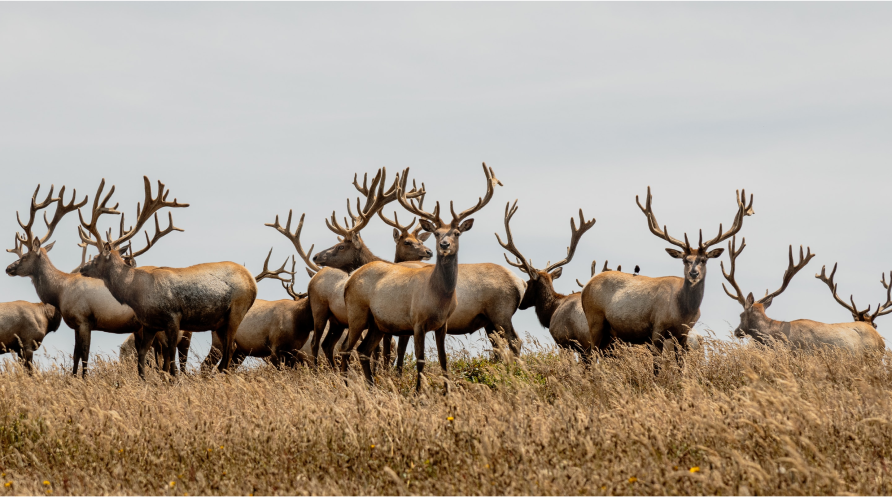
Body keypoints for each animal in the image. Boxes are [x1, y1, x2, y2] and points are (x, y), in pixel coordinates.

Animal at [3, 183, 162, 376]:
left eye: (25, 256)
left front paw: (84, 378)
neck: (60, 291)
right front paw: (73, 377)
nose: (8, 268)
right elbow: (76, 354)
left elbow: (85, 353)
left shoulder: (84, 319)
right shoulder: (76, 325)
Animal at [76, 176, 258, 374]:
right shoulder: (149, 324)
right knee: (228, 349)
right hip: (219, 322)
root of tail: (252, 281)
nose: (82, 269)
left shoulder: (173, 316)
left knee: (229, 348)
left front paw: (172, 378)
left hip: (237, 310)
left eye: (96, 257)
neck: (136, 293)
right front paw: (145, 378)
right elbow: (143, 355)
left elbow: (170, 356)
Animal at [342, 165, 502, 390]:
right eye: (436, 233)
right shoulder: (417, 321)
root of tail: (349, 281)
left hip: (377, 323)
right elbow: (421, 359)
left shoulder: (443, 324)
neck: (438, 297)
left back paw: (372, 387)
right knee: (346, 350)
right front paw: (419, 392)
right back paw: (346, 386)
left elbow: (443, 360)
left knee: (363, 350)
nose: (444, 245)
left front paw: (447, 392)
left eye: (457, 233)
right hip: (356, 312)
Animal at [580, 186, 752, 364]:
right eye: (685, 260)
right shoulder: (658, 327)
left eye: (704, 260)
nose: (693, 273)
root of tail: (586, 285)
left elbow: (681, 364)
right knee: (590, 355)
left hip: (609, 332)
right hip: (595, 319)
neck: (683, 311)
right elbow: (657, 363)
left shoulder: (683, 334)